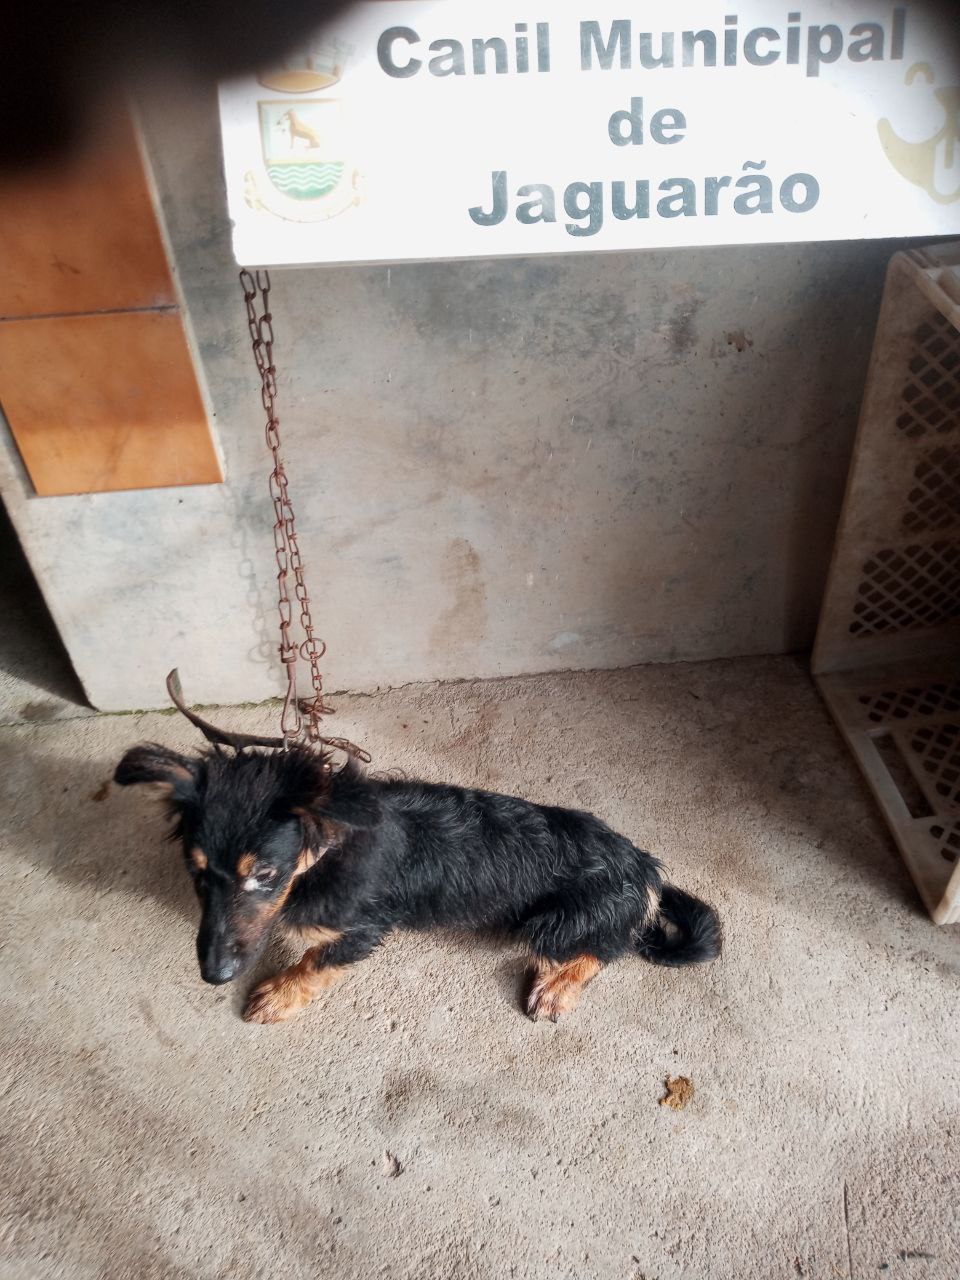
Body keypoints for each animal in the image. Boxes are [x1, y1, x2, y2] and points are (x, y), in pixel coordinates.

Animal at [115, 741, 721, 1024]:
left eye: (265, 874)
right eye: (196, 871)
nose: (214, 976)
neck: (327, 847)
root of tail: (643, 866)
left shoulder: (364, 928)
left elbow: (314, 962)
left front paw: (277, 996)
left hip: (554, 922)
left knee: (604, 948)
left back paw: (556, 989)